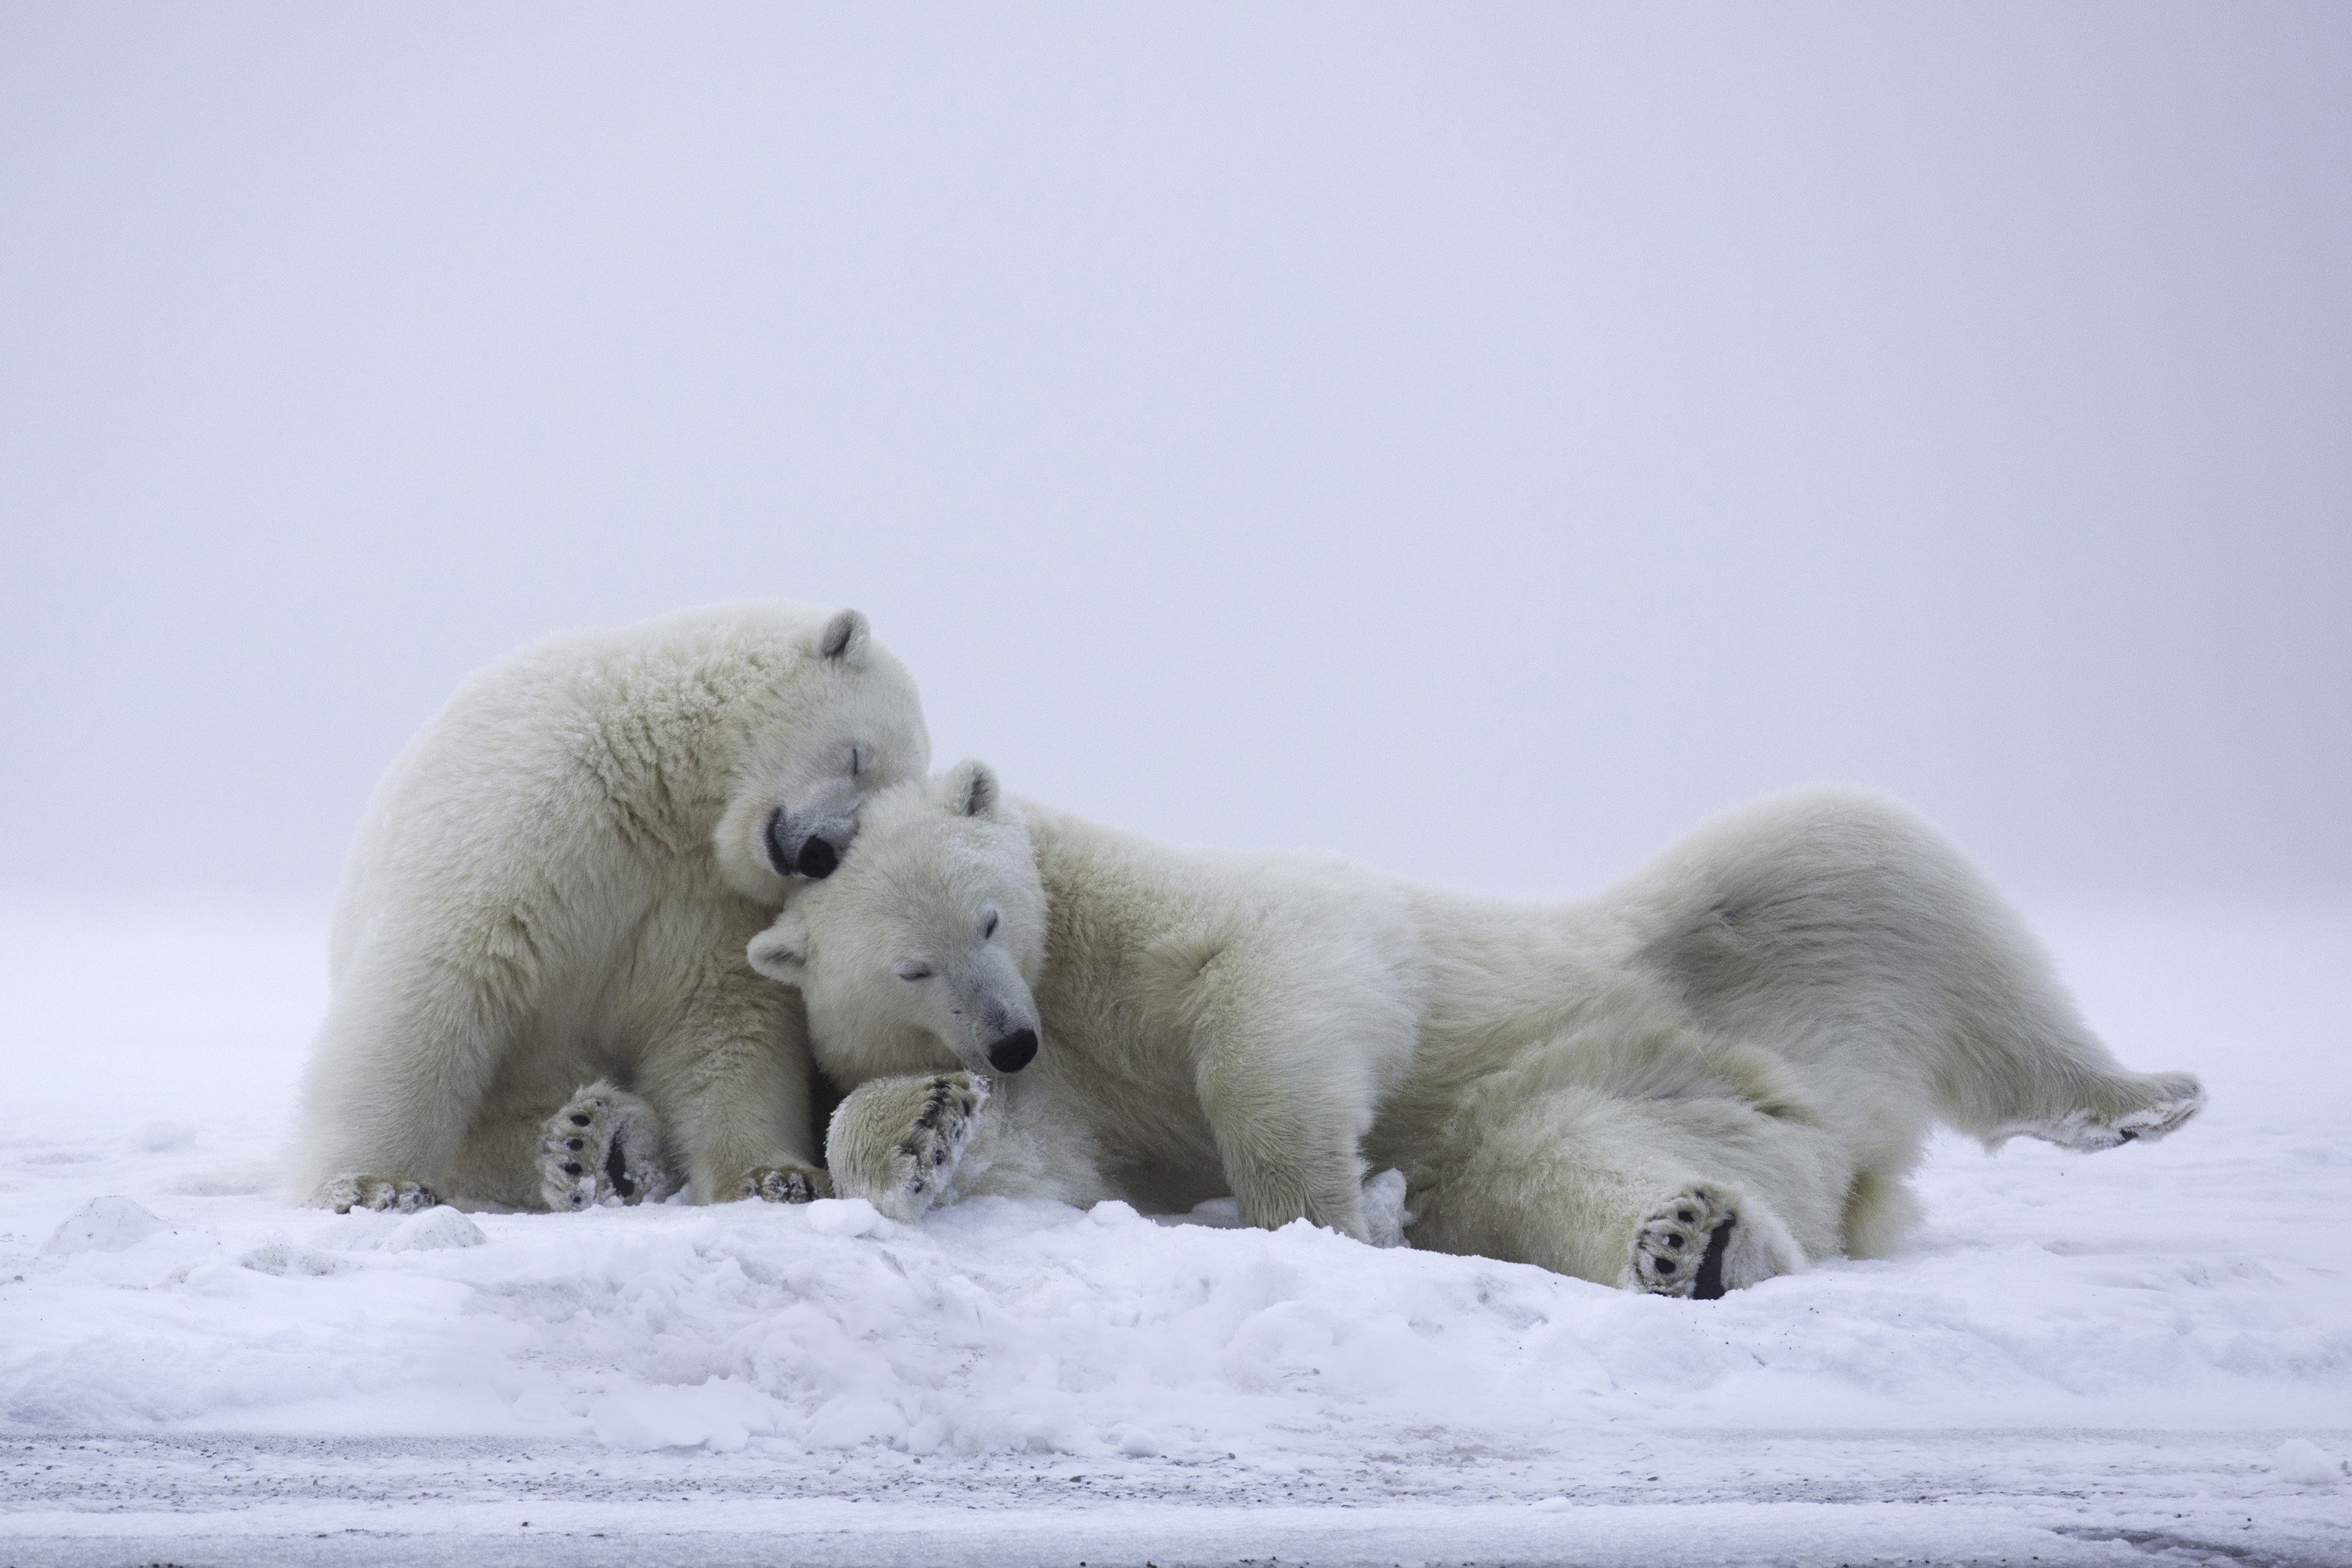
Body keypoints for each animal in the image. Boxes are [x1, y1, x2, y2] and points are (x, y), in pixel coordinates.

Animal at [287, 601, 932, 1214]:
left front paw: (775, 1177)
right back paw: (586, 1144)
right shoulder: (536, 812)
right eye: (855, 757)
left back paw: (601, 1143)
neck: (661, 795)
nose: (819, 852)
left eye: (866, 821)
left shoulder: (712, 903)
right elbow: (449, 975)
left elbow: (724, 1022)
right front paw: (375, 1184)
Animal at [746, 762, 2203, 1297]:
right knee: (1564, 1168)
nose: (1005, 1045)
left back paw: (2139, 1096)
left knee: (1879, 866)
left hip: (1730, 931)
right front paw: (922, 1130)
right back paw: (1692, 1240)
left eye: (993, 920)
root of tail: (1851, 1142)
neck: (1078, 993)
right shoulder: (1076, 1080)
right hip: (1632, 1092)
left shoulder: (1167, 914)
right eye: (912, 964)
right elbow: (1039, 1153)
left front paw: (1316, 1211)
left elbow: (1288, 984)